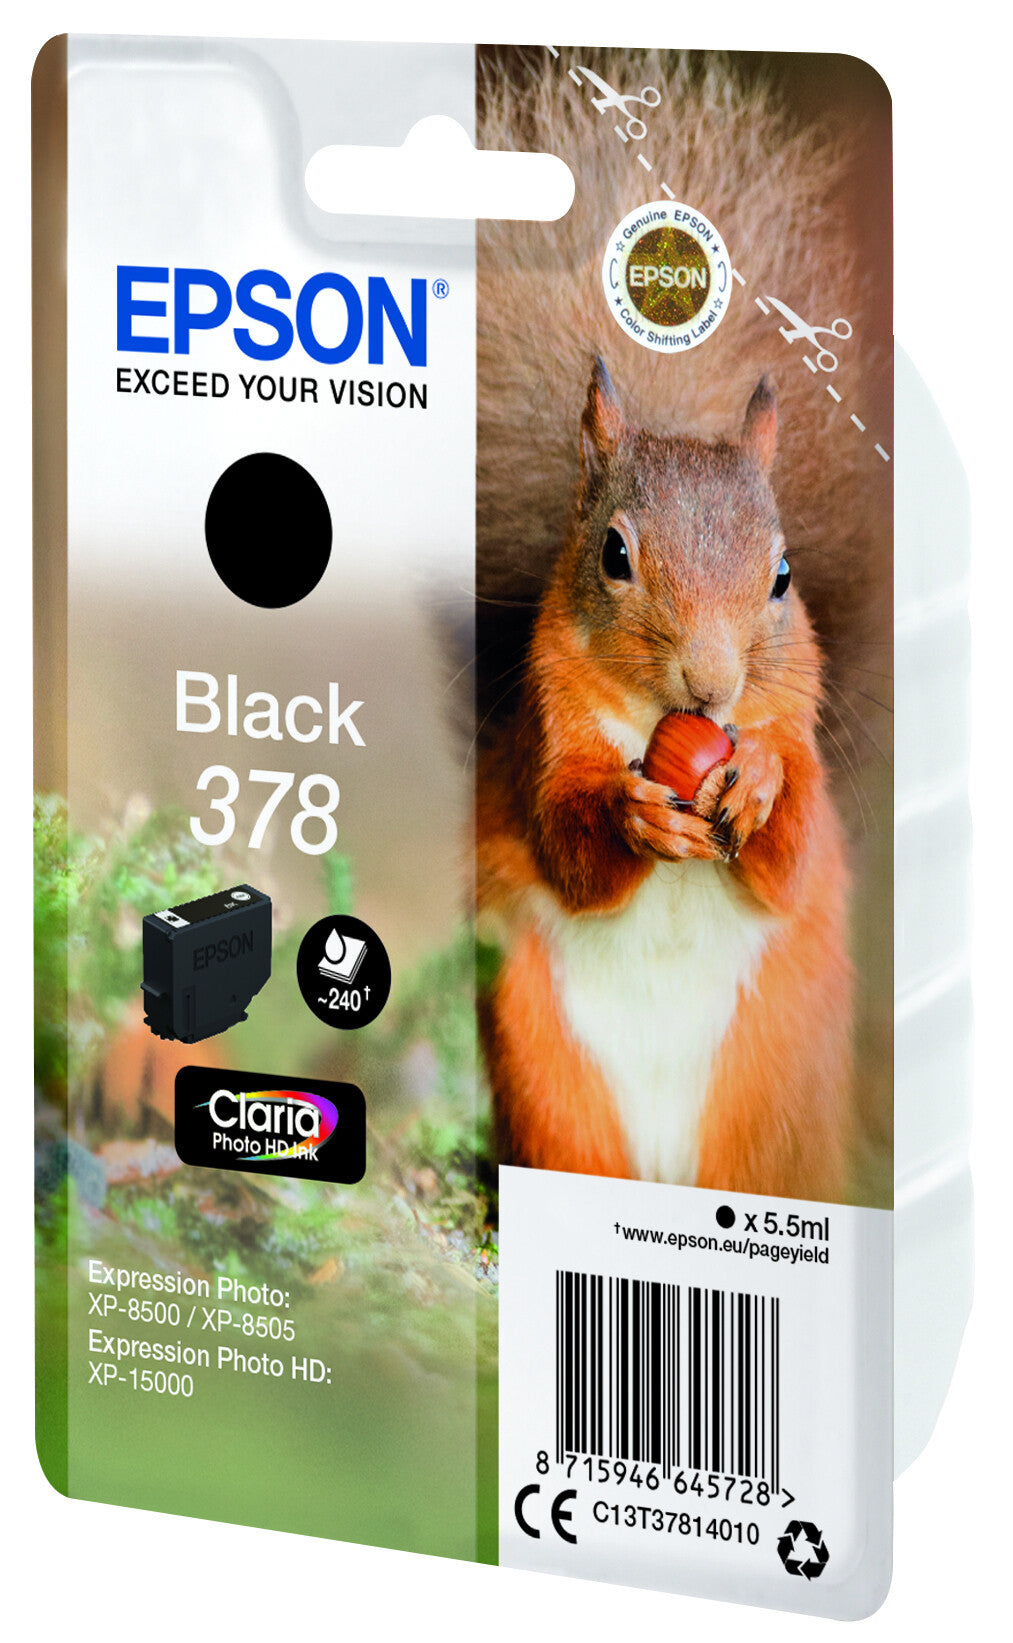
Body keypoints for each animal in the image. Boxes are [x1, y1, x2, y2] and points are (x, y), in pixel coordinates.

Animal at [472, 49, 892, 1202]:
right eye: (613, 554)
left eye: (782, 576)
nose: (710, 687)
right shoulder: (545, 734)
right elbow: (566, 842)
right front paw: (631, 816)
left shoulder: (796, 726)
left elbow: (790, 851)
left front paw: (756, 783)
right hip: (546, 1069)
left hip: (770, 1093)